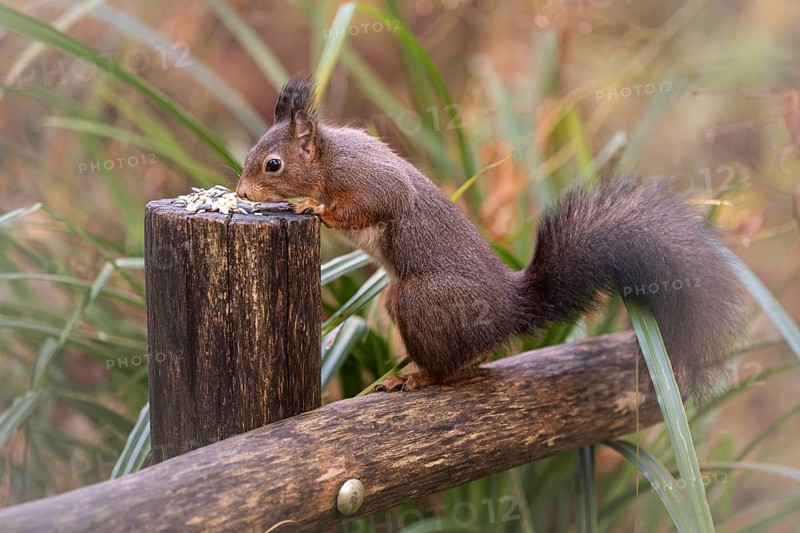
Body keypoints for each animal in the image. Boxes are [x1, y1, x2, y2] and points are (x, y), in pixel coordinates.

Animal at [236, 74, 748, 398]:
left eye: (273, 164)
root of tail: (509, 310)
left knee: (447, 368)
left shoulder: (370, 181)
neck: (327, 159)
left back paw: (416, 378)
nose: (241, 192)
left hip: (421, 300)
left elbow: (368, 206)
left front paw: (311, 206)